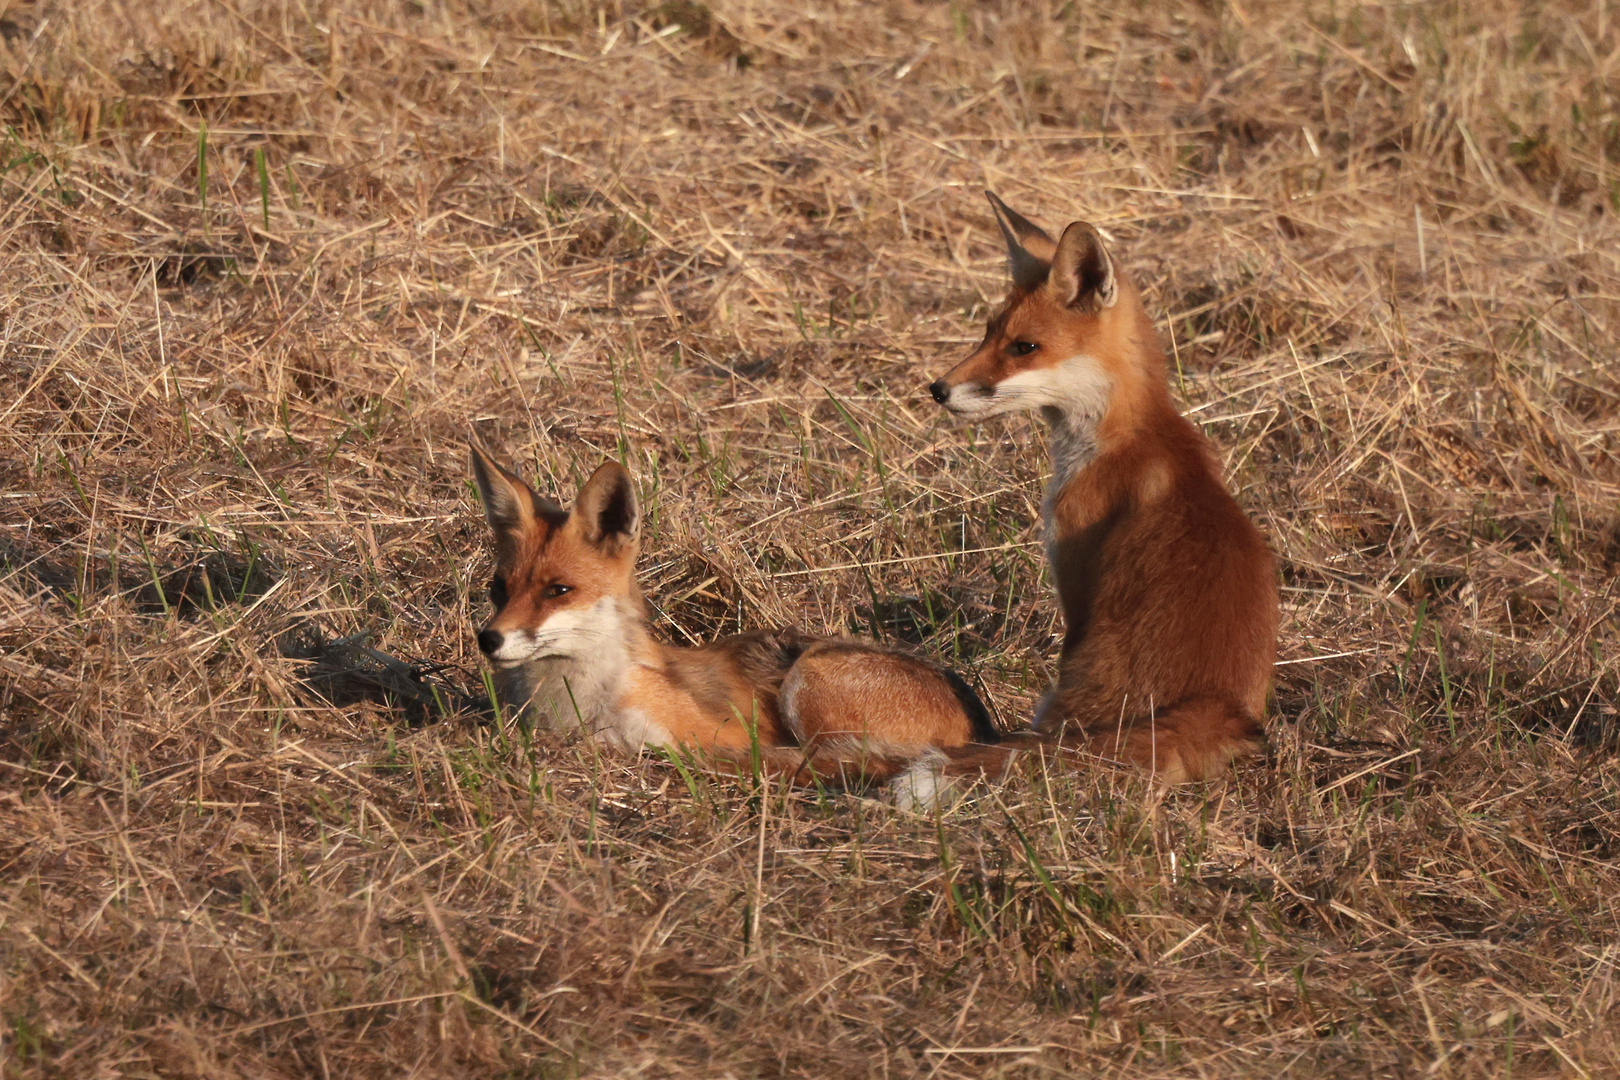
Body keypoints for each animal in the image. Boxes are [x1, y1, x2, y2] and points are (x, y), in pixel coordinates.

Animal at [469, 440, 997, 786]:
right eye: (498, 589)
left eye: (559, 590)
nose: (489, 639)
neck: (576, 703)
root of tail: (986, 731)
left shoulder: (699, 734)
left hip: (808, 681)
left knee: (860, 764)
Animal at [920, 194, 1283, 790]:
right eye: (988, 333)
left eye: (1024, 347)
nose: (938, 389)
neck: (1123, 439)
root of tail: (1215, 706)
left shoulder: (1076, 580)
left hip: (1065, 695)